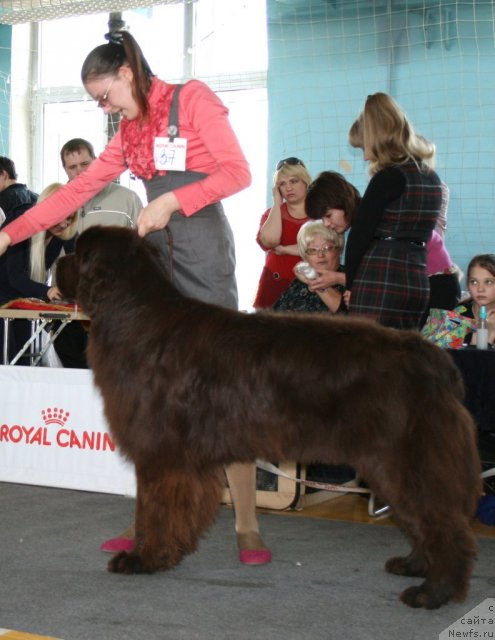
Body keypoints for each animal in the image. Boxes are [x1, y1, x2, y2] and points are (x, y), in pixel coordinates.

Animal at [57, 226, 480, 608]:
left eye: (79, 252)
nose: (57, 263)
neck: (134, 314)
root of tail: (434, 358)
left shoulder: (161, 451)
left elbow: (153, 509)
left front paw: (143, 559)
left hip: (403, 458)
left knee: (446, 525)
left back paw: (433, 592)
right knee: (425, 519)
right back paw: (414, 565)